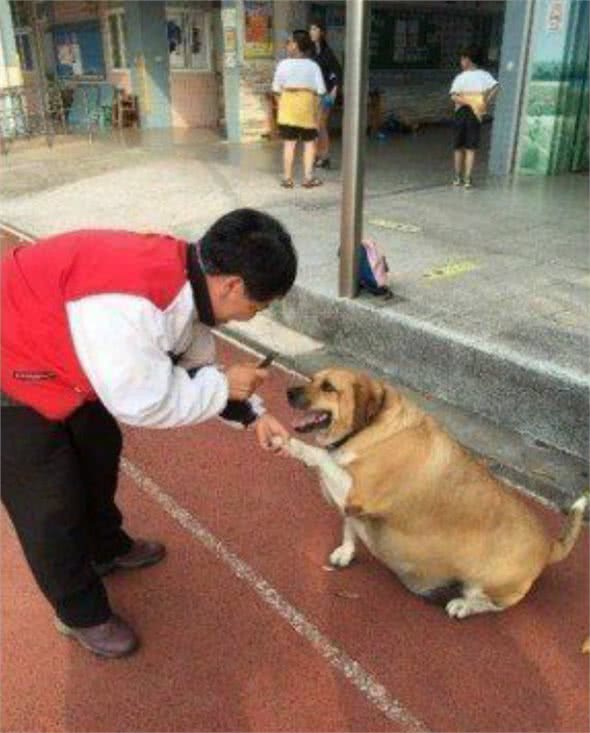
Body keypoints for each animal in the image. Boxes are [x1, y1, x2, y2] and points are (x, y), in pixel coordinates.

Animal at [280, 372, 588, 616]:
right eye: (312, 379)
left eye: (328, 387)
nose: (288, 392)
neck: (372, 429)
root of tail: (549, 545)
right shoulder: (351, 505)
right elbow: (349, 527)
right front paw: (346, 552)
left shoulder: (356, 495)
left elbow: (320, 456)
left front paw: (292, 444)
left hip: (487, 584)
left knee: (489, 604)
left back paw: (462, 606)